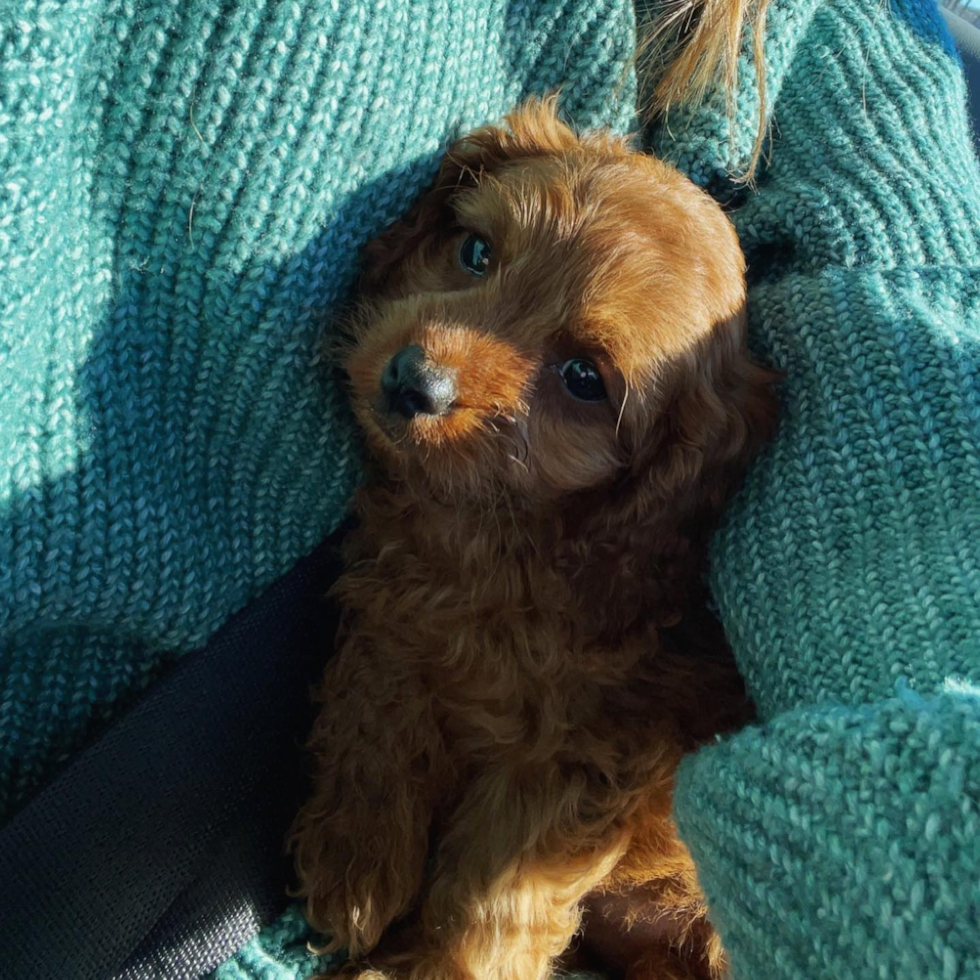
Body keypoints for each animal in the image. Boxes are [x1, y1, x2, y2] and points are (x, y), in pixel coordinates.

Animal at [288, 94, 776, 980]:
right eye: (475, 252)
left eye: (584, 379)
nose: (413, 381)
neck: (496, 533)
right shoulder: (391, 602)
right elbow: (379, 703)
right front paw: (355, 858)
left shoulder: (588, 757)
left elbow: (494, 899)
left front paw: (432, 966)